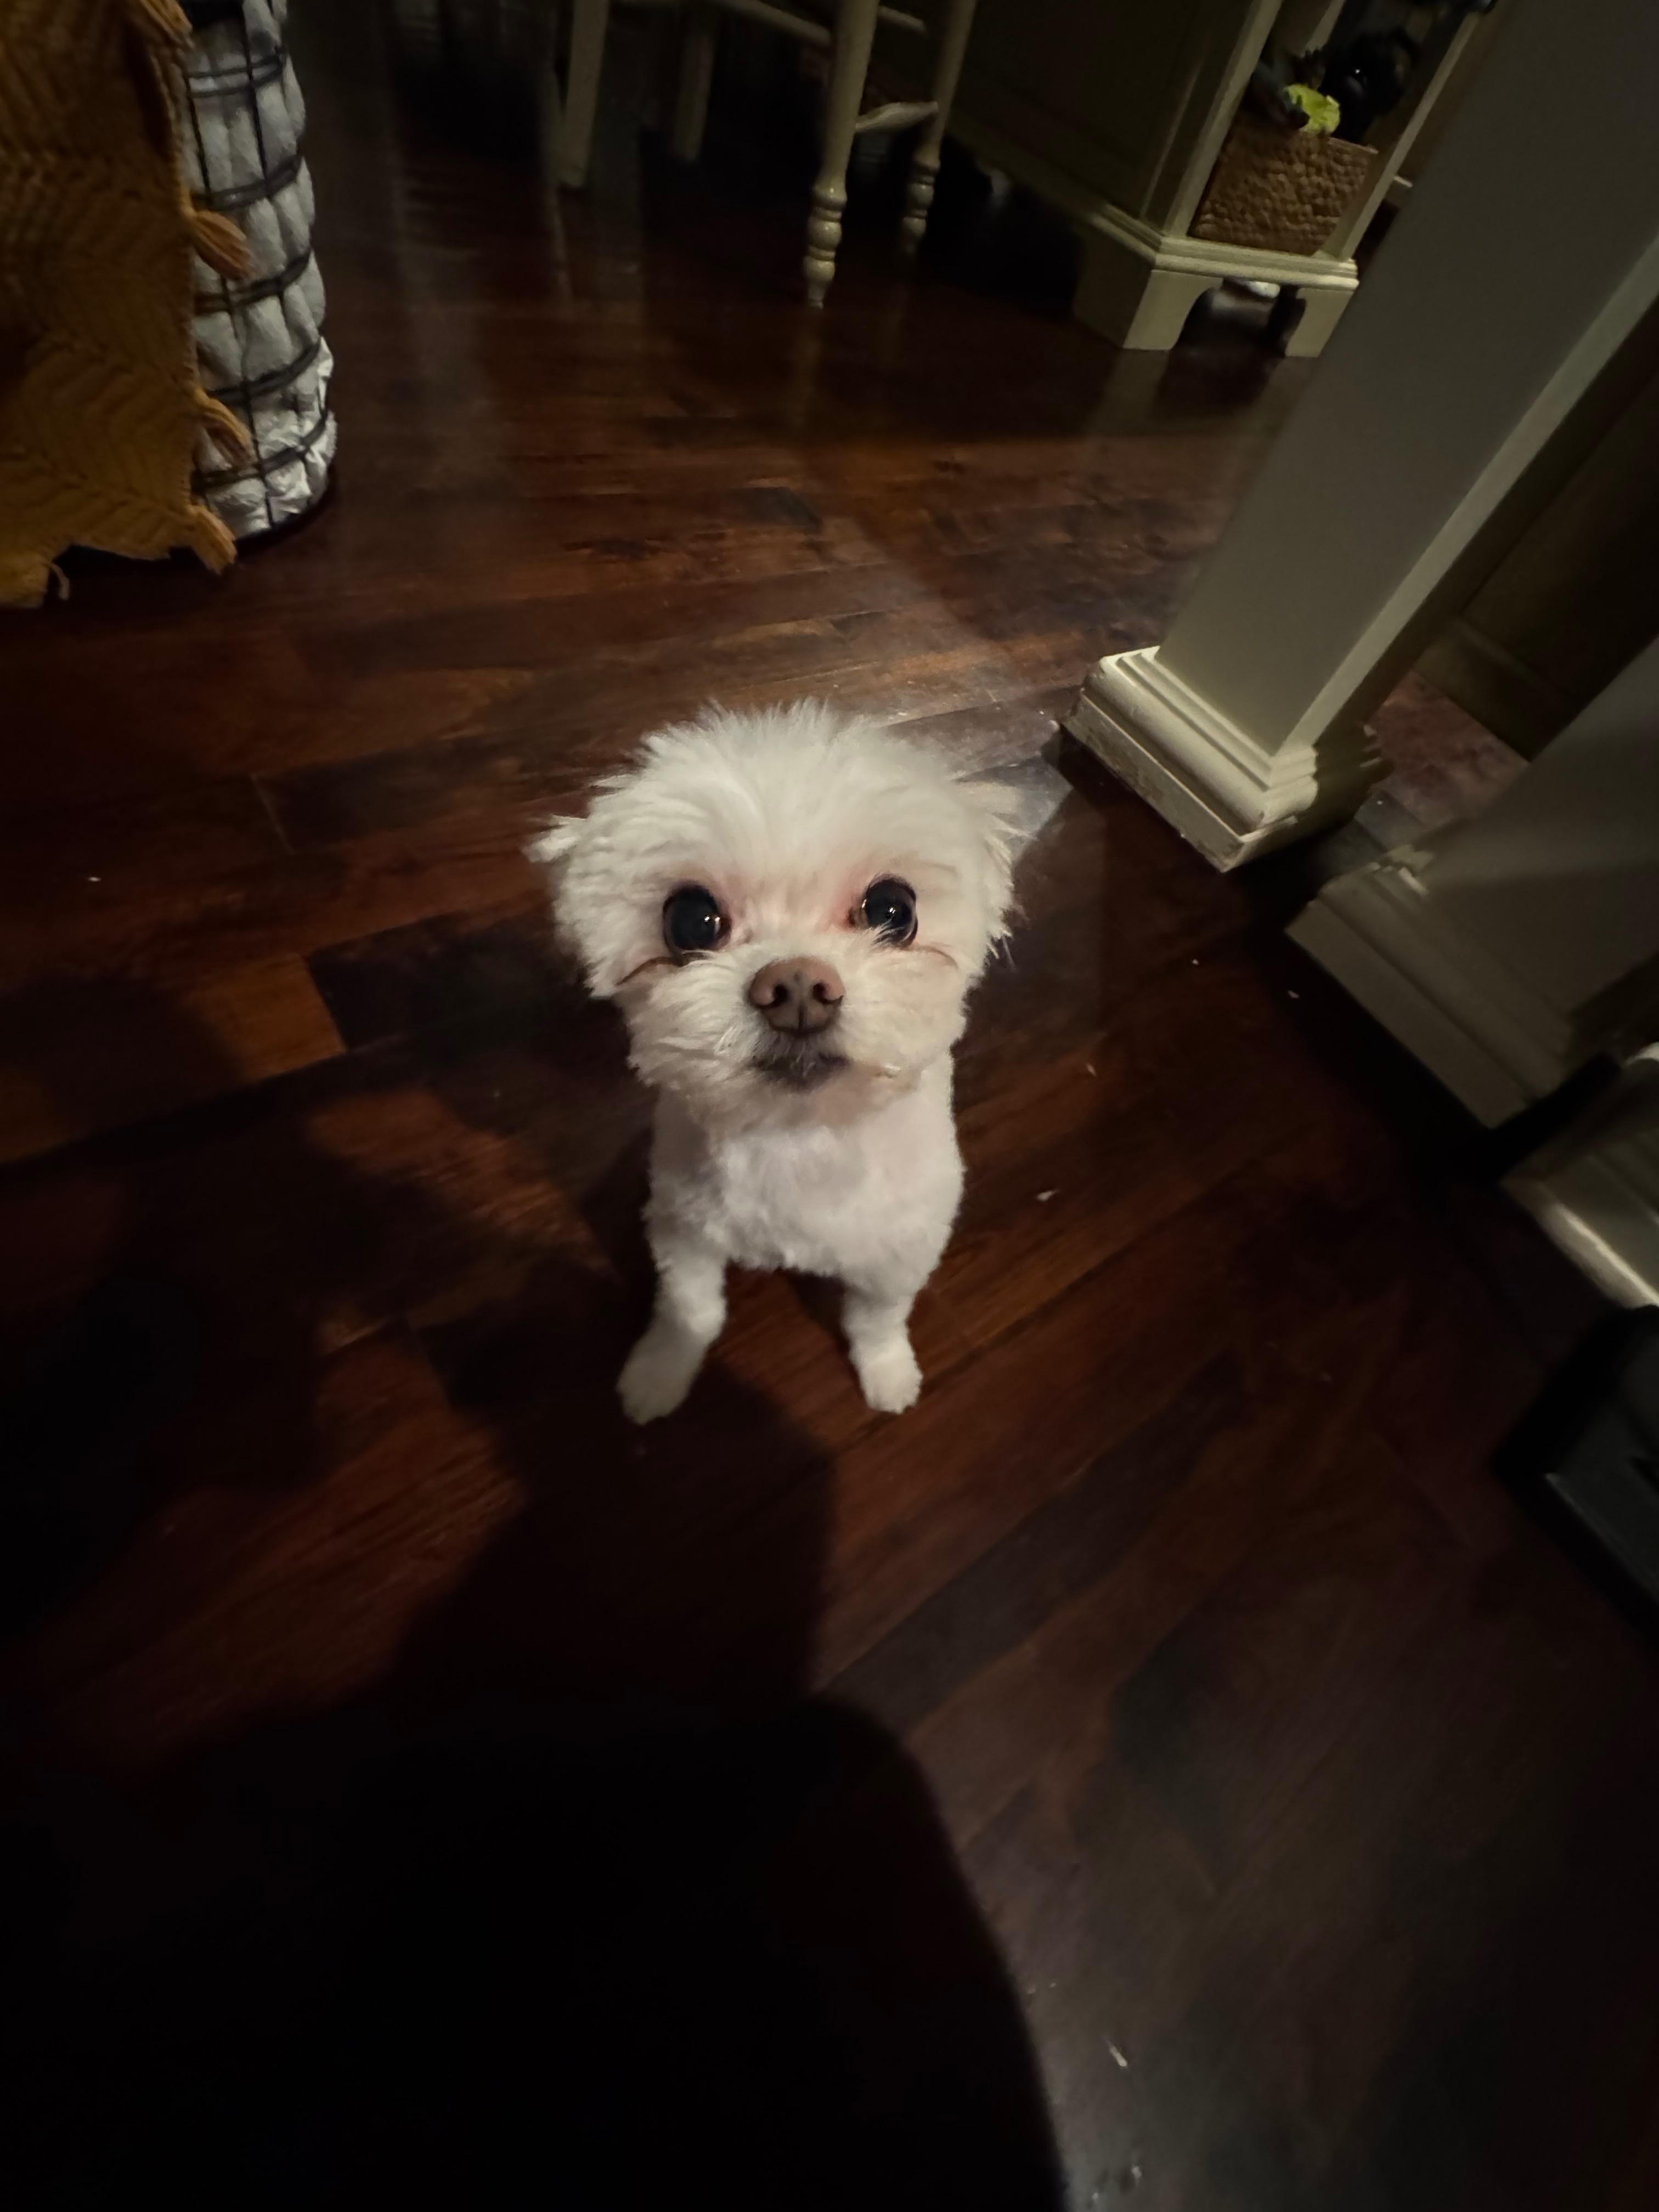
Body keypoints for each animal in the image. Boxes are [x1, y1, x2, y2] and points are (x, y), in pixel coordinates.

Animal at [532, 702, 1023, 1422]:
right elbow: (690, 1310)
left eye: (893, 909)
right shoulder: (684, 1232)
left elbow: (876, 1319)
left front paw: (888, 1373)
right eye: (691, 920)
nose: (796, 987)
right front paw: (661, 1369)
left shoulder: (902, 1253)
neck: (802, 1138)